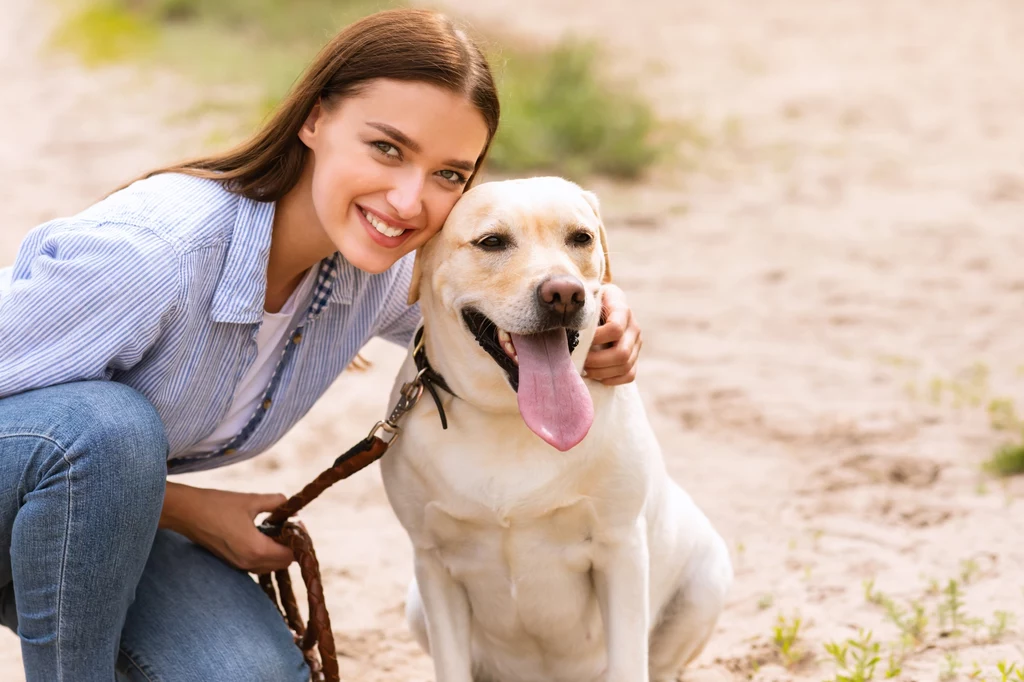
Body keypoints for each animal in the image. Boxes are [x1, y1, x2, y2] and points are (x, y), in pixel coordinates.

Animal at [380, 176, 733, 679]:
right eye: (492, 242)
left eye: (580, 238)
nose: (565, 294)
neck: (509, 415)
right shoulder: (432, 563)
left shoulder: (620, 549)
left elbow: (630, 661)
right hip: (415, 606)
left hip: (707, 579)